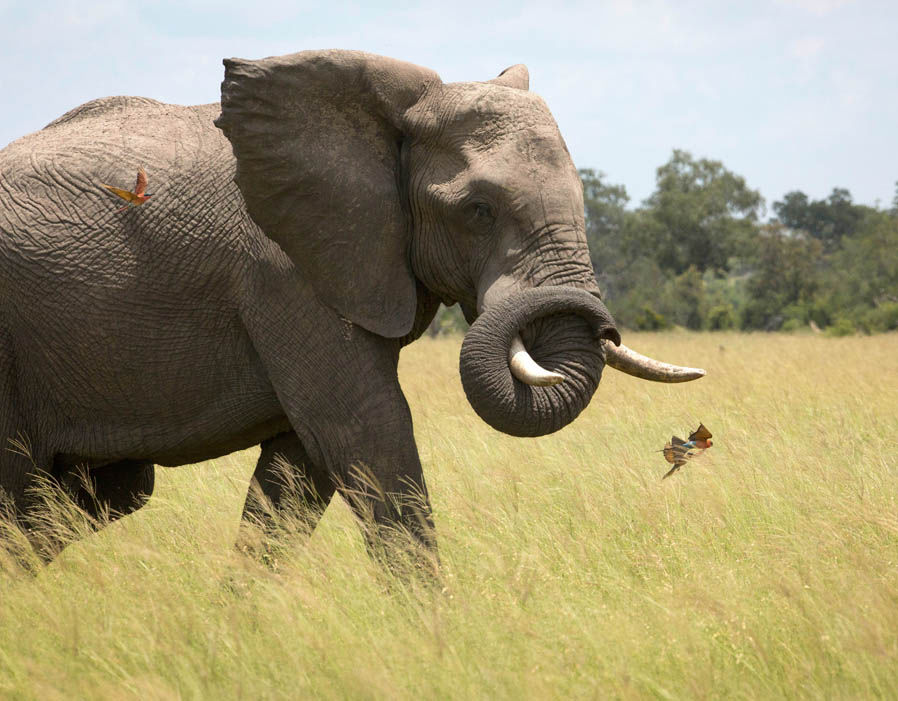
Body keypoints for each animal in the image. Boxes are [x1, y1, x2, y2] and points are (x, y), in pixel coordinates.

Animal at [0, 47, 700, 564]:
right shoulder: (287, 271)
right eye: (477, 210)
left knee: (100, 495)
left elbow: (298, 475)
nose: (600, 321)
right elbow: (365, 433)